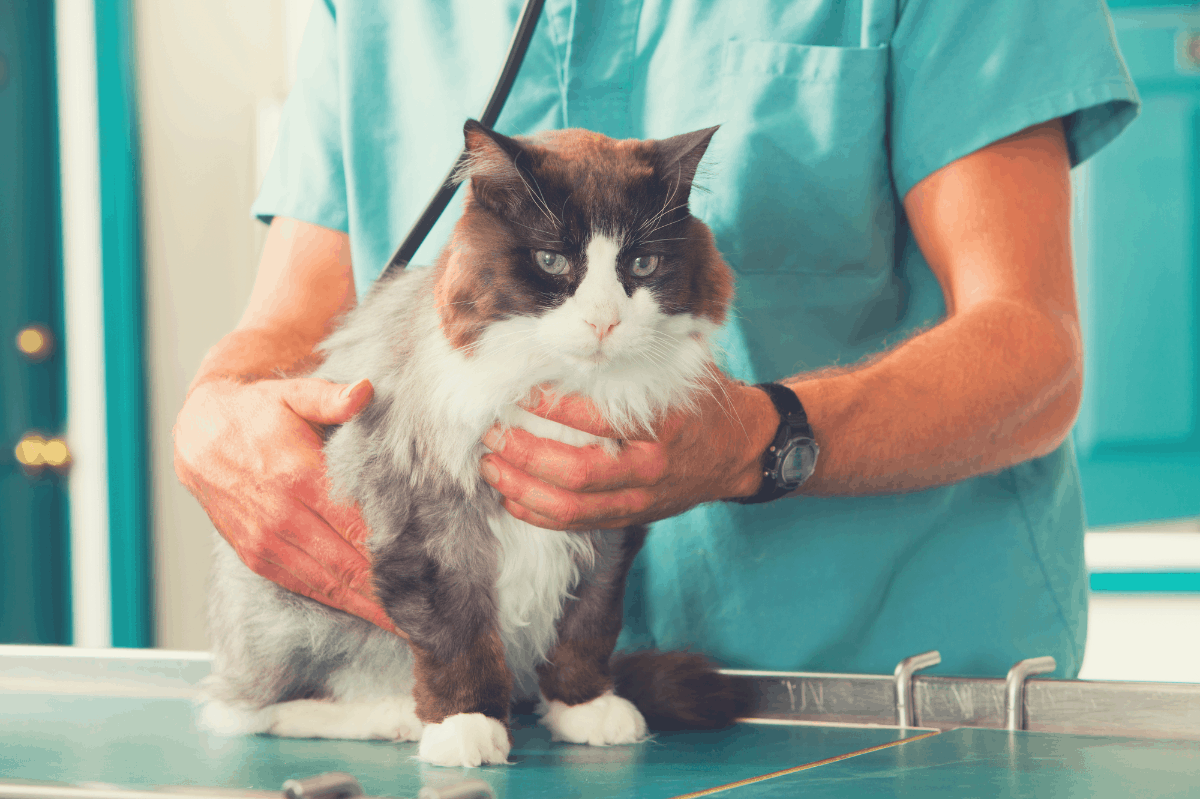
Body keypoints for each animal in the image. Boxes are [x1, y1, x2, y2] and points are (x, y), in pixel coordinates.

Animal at [204, 118, 748, 767]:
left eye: (642, 264)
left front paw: (584, 707)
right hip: (296, 618)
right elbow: (458, 639)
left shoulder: (608, 528)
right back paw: (394, 717)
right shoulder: (431, 529)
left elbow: (587, 627)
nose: (603, 321)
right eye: (550, 260)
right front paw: (465, 726)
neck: (560, 387)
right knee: (250, 710)